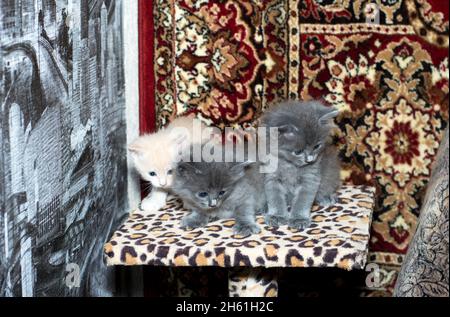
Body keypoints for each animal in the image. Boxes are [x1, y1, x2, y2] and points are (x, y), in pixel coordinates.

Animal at [260, 100, 342, 230]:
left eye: (316, 146)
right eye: (298, 152)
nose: (310, 160)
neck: (290, 165)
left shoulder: (310, 178)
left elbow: (302, 200)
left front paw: (299, 219)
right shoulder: (271, 176)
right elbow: (275, 197)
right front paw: (276, 216)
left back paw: (325, 197)